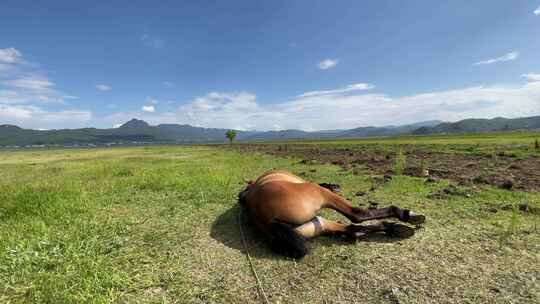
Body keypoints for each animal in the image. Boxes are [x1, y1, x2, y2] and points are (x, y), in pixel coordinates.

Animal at [238, 170, 424, 258]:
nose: (240, 198)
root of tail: (267, 220)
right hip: (320, 195)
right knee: (357, 215)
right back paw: (406, 216)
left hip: (319, 223)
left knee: (353, 228)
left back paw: (395, 228)